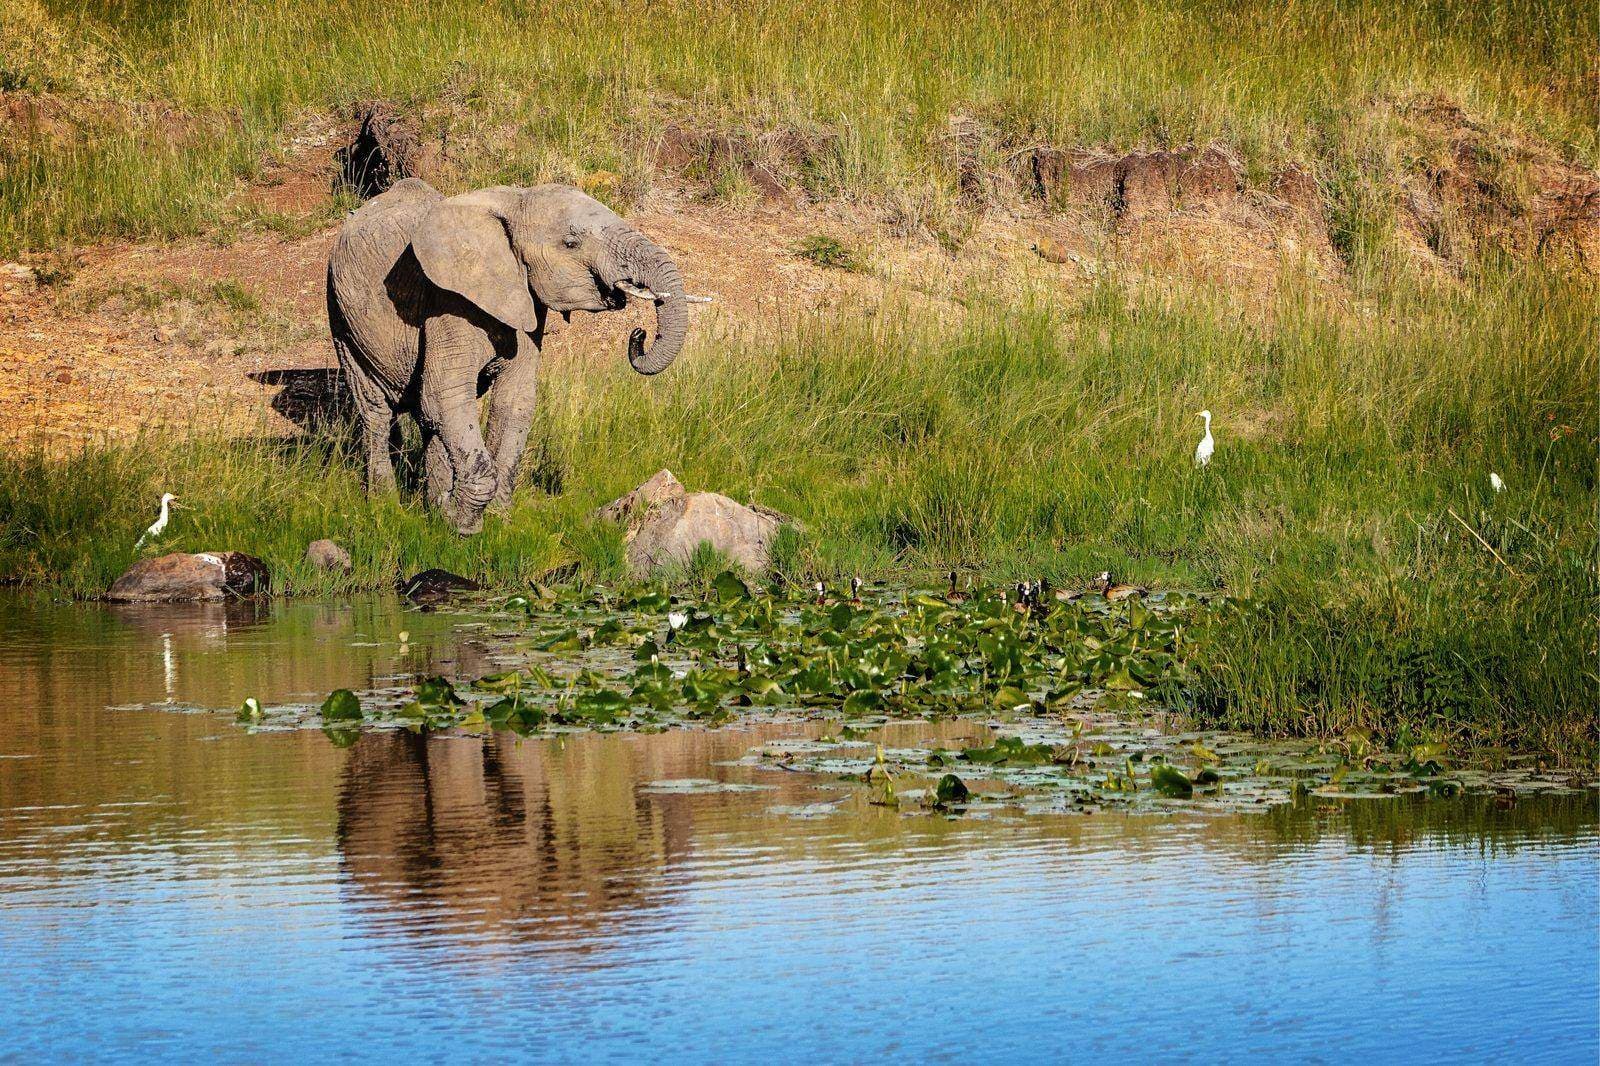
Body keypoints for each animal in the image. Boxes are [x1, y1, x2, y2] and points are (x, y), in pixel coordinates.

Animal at [326, 178, 688, 533]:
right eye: (571, 243)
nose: (639, 334)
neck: (514, 200)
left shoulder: (527, 300)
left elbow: (513, 401)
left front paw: (492, 520)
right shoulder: (447, 300)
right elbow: (446, 396)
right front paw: (461, 528)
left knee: (428, 420)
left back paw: (432, 508)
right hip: (342, 315)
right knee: (375, 411)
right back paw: (386, 508)